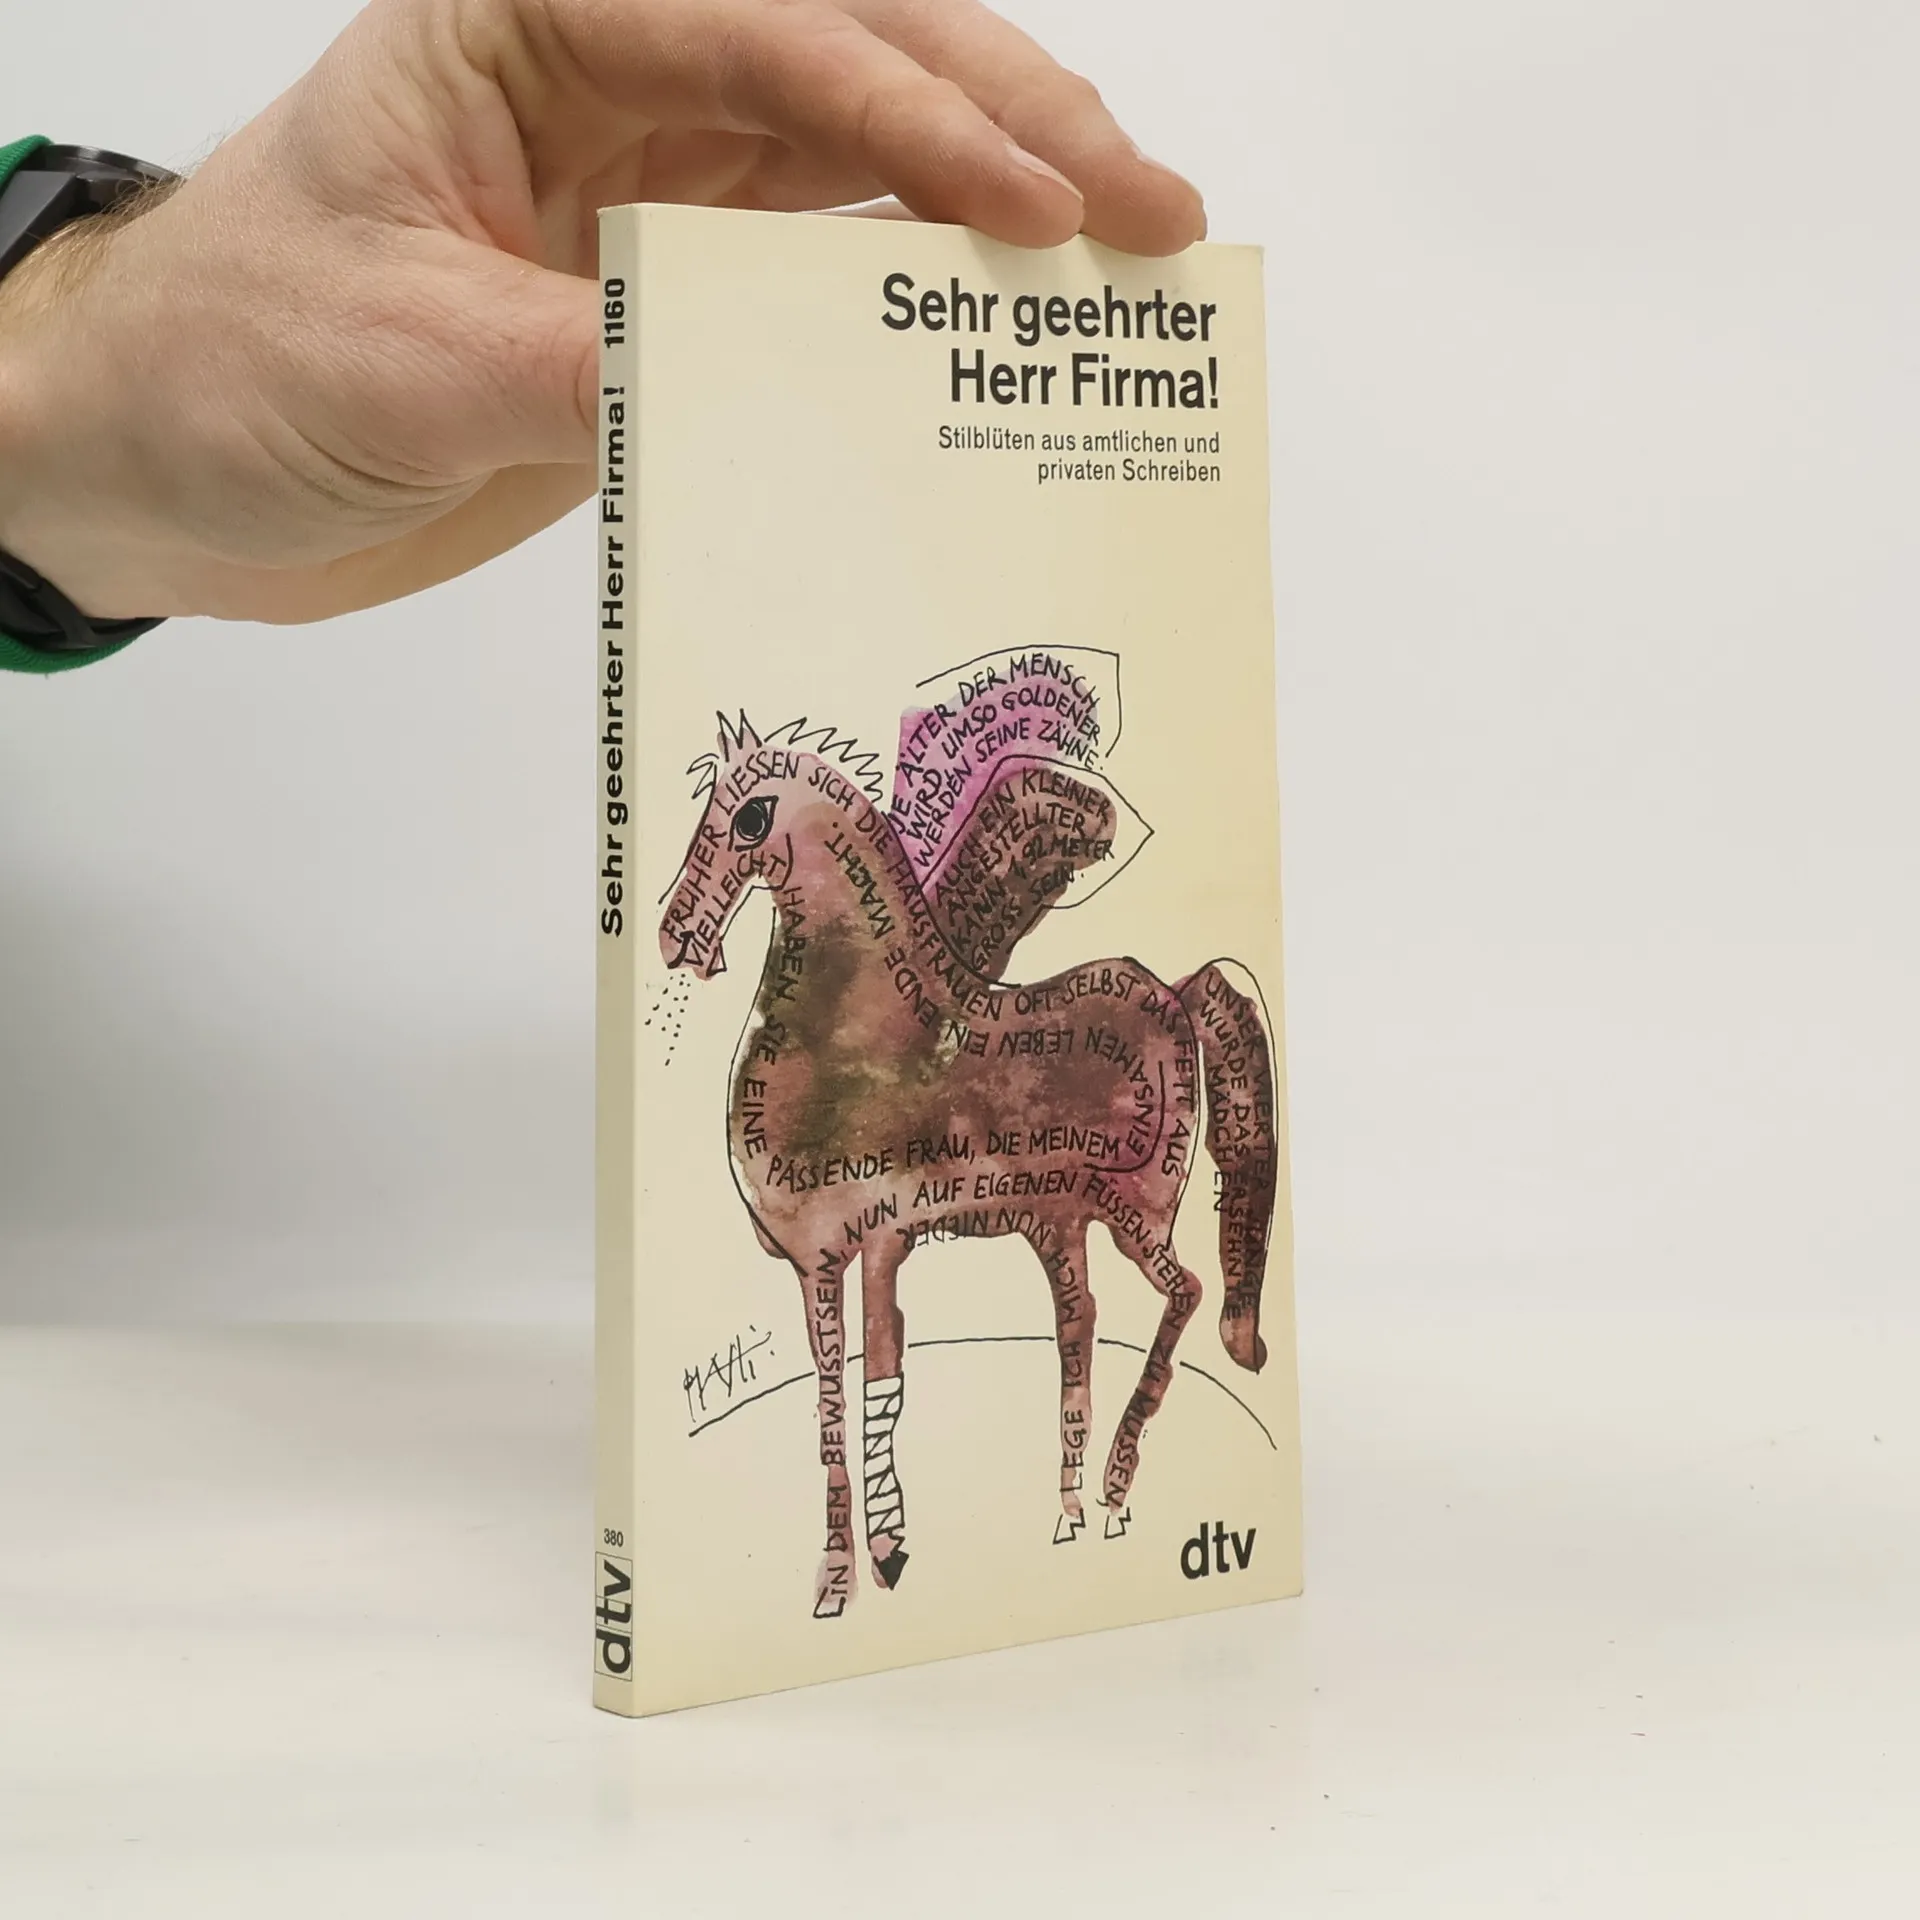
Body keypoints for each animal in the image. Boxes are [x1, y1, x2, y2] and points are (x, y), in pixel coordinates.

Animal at [661, 715, 1279, 1619]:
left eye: (750, 817)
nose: (677, 938)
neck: (852, 1034)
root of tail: (1174, 989)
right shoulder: (841, 1257)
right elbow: (852, 1386)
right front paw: (866, 1563)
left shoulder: (857, 1247)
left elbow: (860, 1390)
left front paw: (863, 1566)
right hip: (1061, 1223)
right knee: (1079, 1323)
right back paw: (1069, 1511)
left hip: (1137, 1210)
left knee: (1187, 1291)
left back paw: (1115, 1489)